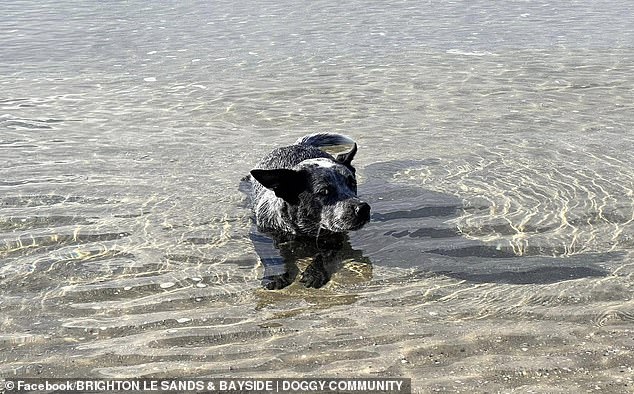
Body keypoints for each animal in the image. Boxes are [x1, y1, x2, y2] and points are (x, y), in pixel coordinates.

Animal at [243, 133, 370, 290]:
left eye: (352, 183)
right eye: (324, 191)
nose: (363, 208)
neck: (304, 230)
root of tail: (299, 144)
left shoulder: (336, 238)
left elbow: (322, 255)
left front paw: (314, 273)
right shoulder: (260, 234)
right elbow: (271, 254)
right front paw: (276, 275)